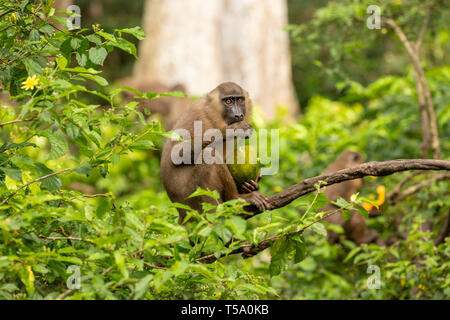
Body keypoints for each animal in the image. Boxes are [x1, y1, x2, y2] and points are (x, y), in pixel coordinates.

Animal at [160, 82, 268, 222]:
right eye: (228, 101)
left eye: (239, 100)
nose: (238, 115)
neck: (212, 114)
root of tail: (182, 214)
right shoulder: (199, 116)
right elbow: (176, 154)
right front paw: (231, 130)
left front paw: (250, 185)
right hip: (194, 204)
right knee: (208, 154)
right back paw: (236, 198)